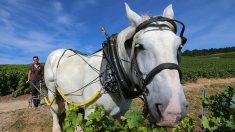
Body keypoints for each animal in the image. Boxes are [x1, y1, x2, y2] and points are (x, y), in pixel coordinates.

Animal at [44, 3, 187, 131]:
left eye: (179, 46)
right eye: (139, 46)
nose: (172, 111)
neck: (112, 72)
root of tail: (57, 51)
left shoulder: (117, 116)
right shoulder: (91, 114)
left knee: (71, 107)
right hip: (51, 87)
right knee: (54, 107)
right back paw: (56, 128)